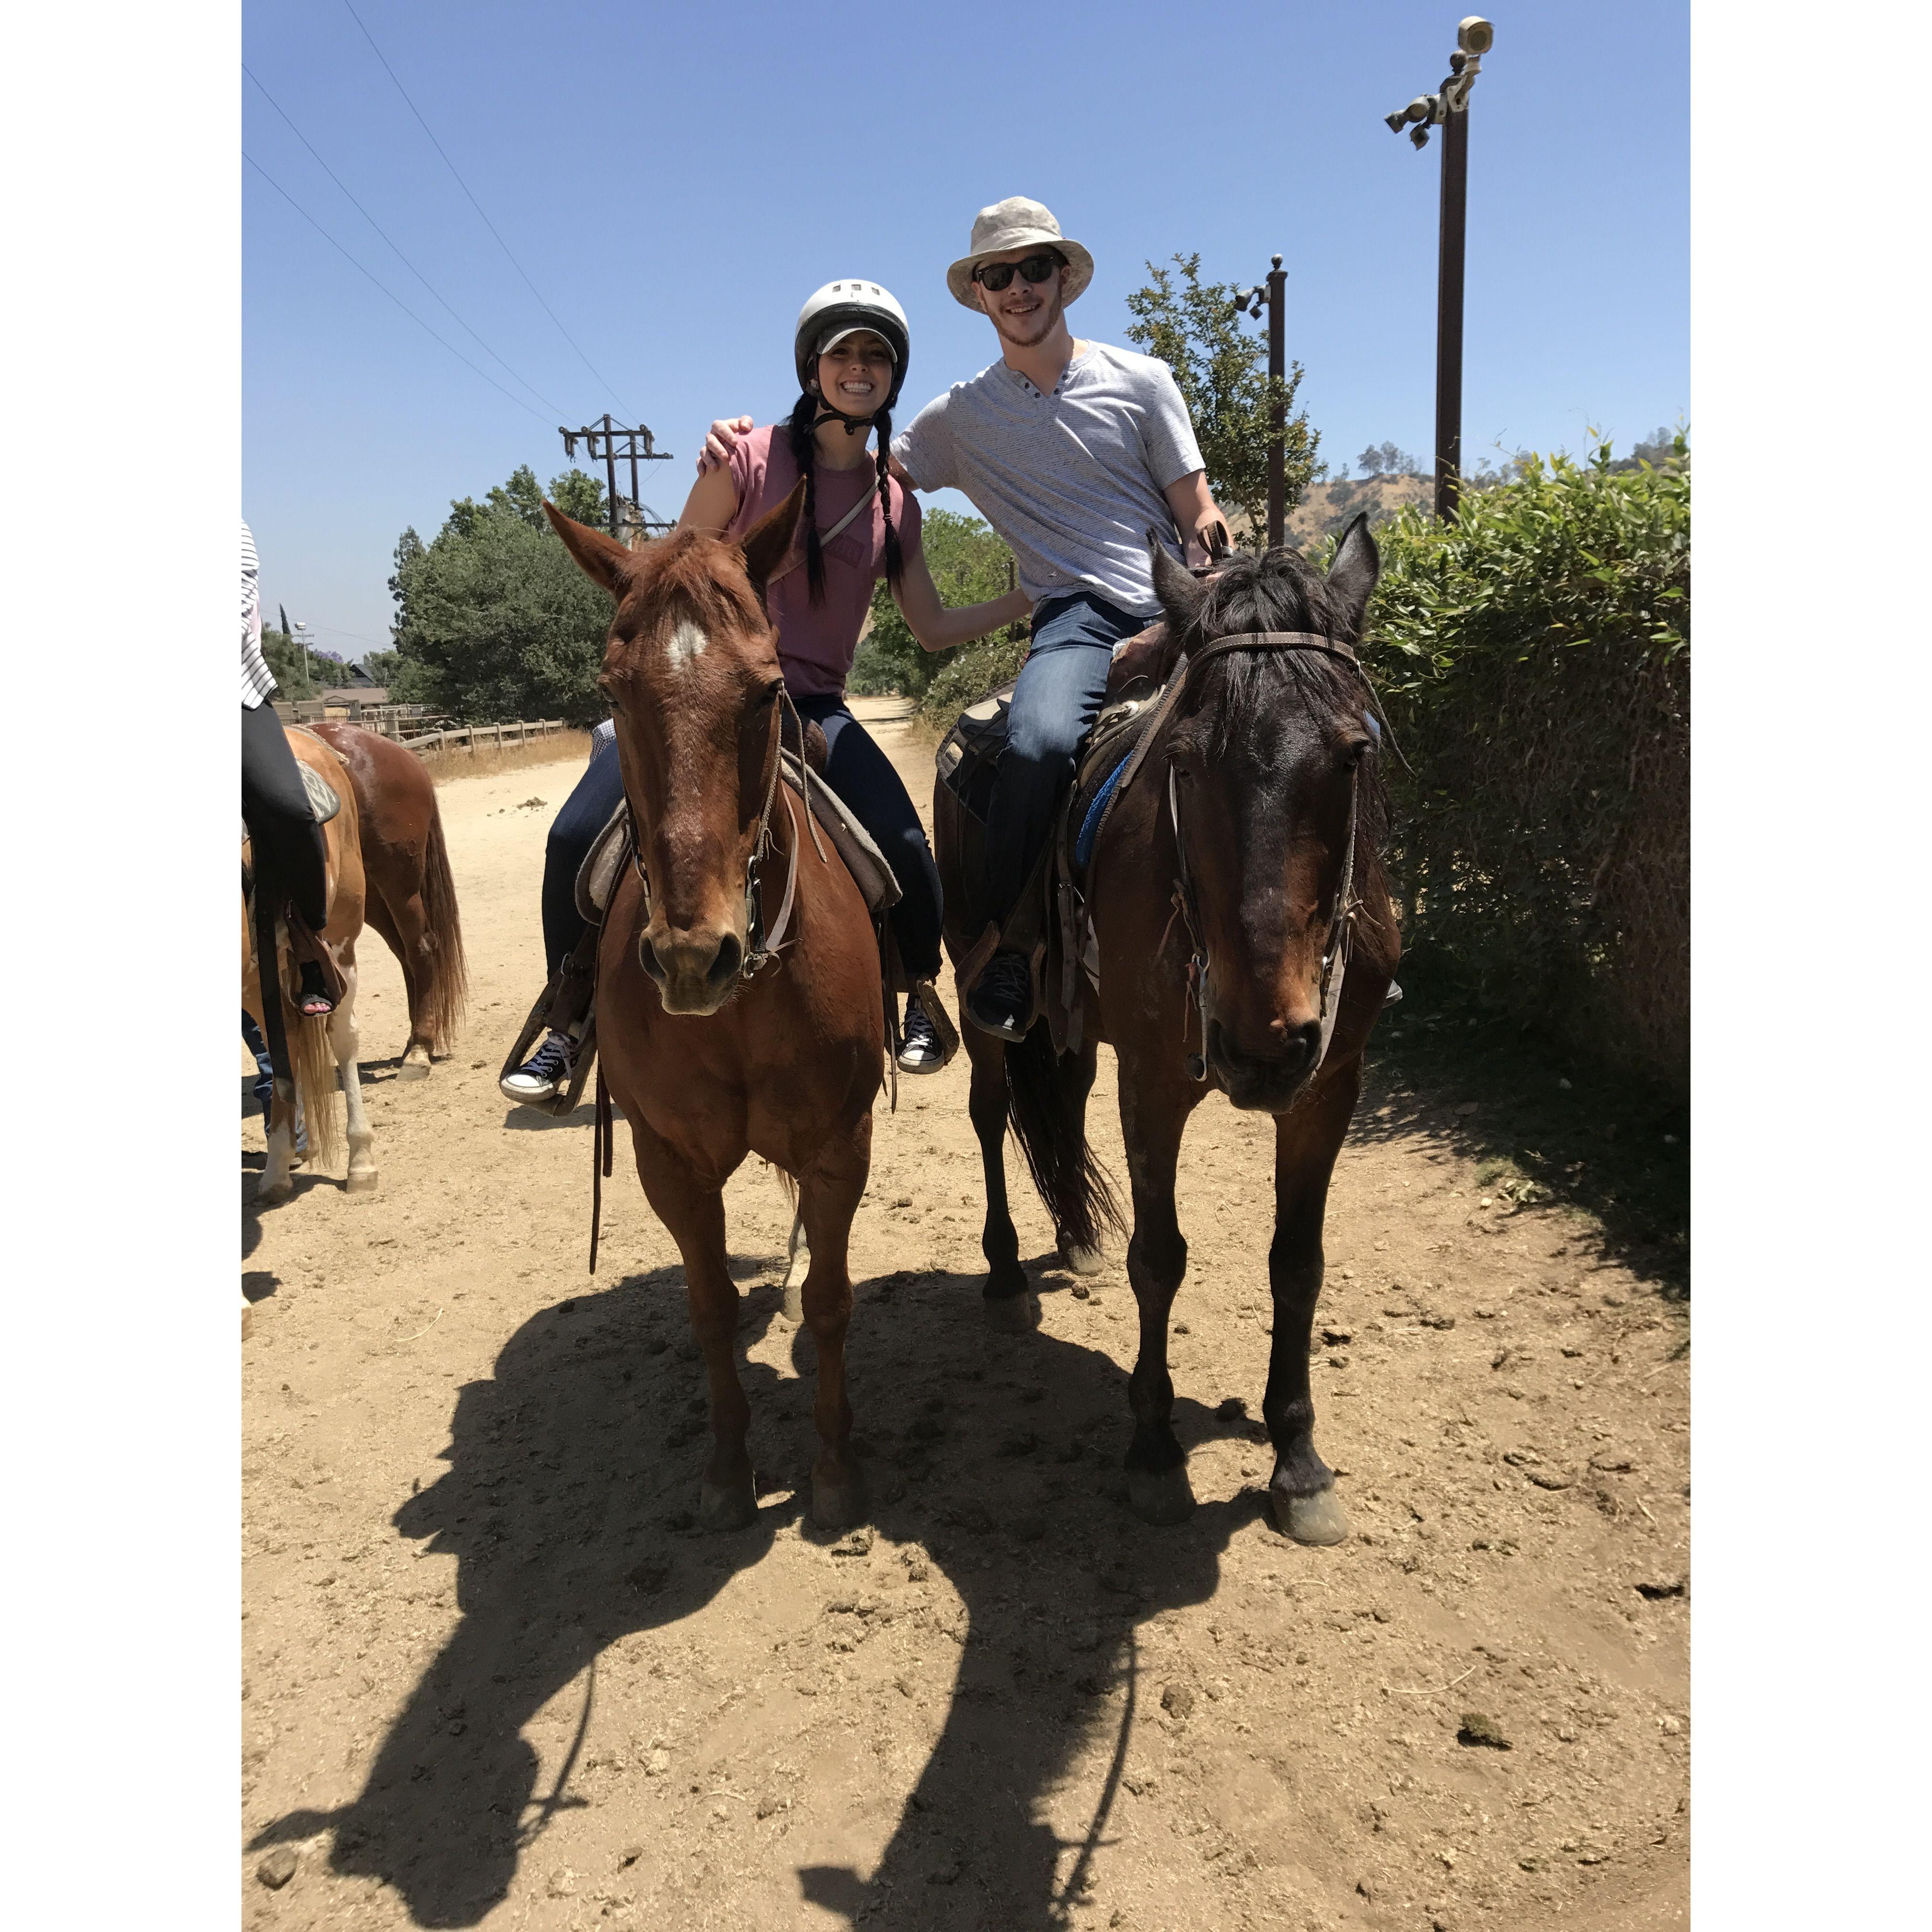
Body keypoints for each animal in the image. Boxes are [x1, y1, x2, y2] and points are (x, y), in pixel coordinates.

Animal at [315, 722, 473, 1081]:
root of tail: (405, 755)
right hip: (370, 898)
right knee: (405, 954)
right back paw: (413, 1043)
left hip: (397, 884)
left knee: (421, 947)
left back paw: (419, 1050)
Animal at [540, 491, 881, 1530]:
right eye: (613, 693)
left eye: (768, 692)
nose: (696, 957)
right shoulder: (670, 1163)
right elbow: (712, 1307)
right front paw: (731, 1473)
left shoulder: (839, 1145)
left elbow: (830, 1301)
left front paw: (835, 1473)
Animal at [931, 521, 1399, 1545]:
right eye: (1181, 760)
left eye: (1352, 754)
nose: (1261, 1044)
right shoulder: (1152, 1079)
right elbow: (1161, 1258)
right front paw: (1151, 1444)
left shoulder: (1329, 1087)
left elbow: (1296, 1266)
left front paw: (1298, 1462)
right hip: (979, 986)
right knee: (989, 1114)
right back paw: (1004, 1274)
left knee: (1059, 1100)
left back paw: (1074, 1238)